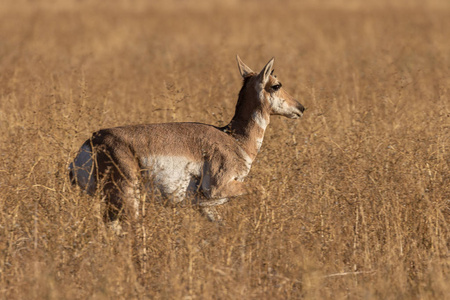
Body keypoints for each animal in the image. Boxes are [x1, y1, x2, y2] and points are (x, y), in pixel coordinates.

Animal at [67, 56, 306, 221]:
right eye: (276, 85)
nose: (301, 108)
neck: (234, 140)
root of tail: (92, 142)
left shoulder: (204, 207)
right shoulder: (220, 188)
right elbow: (262, 190)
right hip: (127, 200)